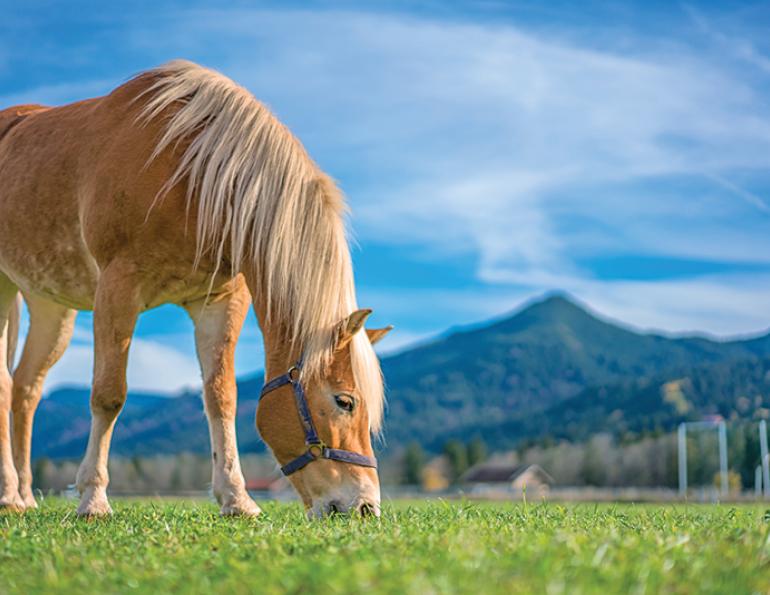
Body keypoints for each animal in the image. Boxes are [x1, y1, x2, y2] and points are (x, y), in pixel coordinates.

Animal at [0, 60, 392, 519]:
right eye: (345, 401)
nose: (365, 506)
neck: (190, 173)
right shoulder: (118, 287)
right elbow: (109, 395)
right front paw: (93, 498)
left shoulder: (220, 302)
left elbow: (221, 397)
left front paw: (236, 498)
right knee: (7, 387)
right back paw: (9, 494)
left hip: (50, 307)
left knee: (25, 389)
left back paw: (24, 496)